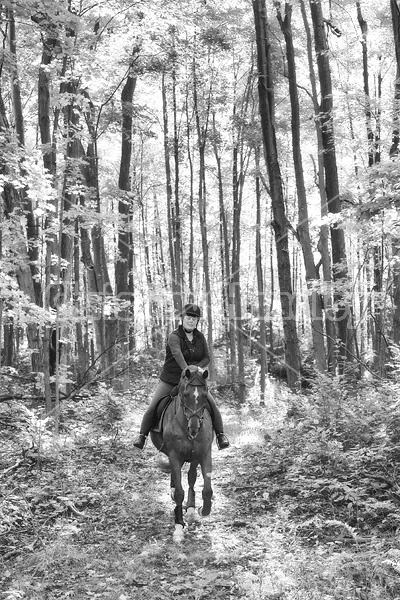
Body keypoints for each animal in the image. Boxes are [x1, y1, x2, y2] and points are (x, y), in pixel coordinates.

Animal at [149, 364, 212, 540]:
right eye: (185, 395)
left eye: (205, 395)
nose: (194, 428)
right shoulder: (174, 456)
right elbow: (178, 492)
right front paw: (178, 526)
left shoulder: (204, 453)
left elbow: (207, 489)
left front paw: (202, 510)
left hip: (194, 456)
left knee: (191, 477)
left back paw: (190, 508)